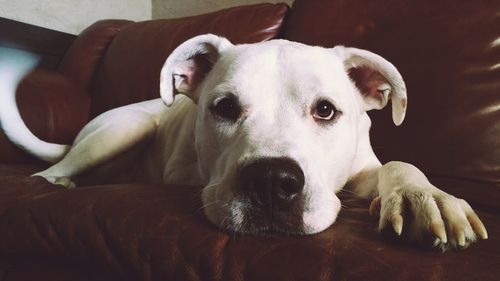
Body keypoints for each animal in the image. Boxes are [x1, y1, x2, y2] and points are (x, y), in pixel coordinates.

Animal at [0, 34, 486, 249]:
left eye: (326, 110)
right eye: (225, 107)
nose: (272, 180)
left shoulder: (361, 171)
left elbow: (397, 167)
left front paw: (424, 196)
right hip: (126, 128)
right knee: (51, 171)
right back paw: (57, 182)